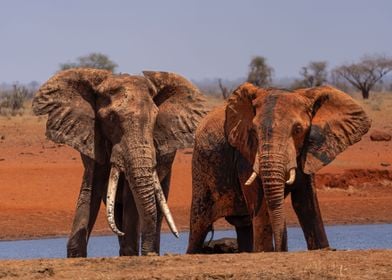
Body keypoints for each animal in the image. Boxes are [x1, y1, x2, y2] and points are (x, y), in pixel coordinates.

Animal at [32, 68, 207, 256]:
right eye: (111, 118)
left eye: (155, 118)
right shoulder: (92, 137)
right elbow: (91, 189)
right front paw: (76, 254)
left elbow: (131, 196)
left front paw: (131, 251)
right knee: (116, 208)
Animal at [187, 83, 370, 254]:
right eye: (253, 131)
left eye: (298, 130)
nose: (282, 248)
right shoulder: (244, 155)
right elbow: (261, 204)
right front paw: (265, 252)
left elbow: (305, 203)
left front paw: (323, 249)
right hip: (200, 173)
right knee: (199, 227)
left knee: (243, 225)